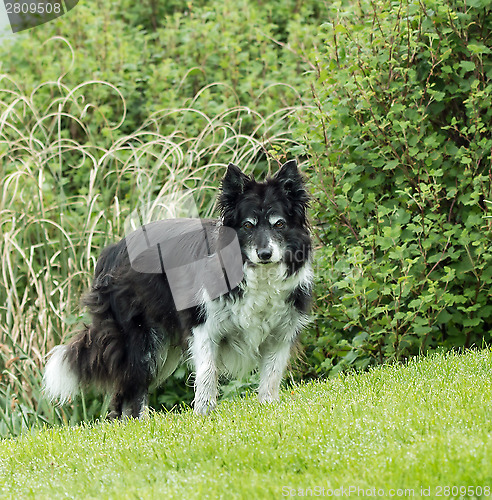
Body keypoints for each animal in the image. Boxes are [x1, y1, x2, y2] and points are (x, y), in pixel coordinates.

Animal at [42, 160, 312, 418]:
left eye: (279, 224)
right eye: (247, 226)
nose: (265, 254)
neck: (256, 274)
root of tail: (114, 249)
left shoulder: (281, 333)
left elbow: (271, 376)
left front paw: (269, 408)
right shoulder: (203, 327)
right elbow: (207, 373)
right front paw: (204, 414)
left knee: (123, 394)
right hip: (142, 341)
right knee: (133, 391)